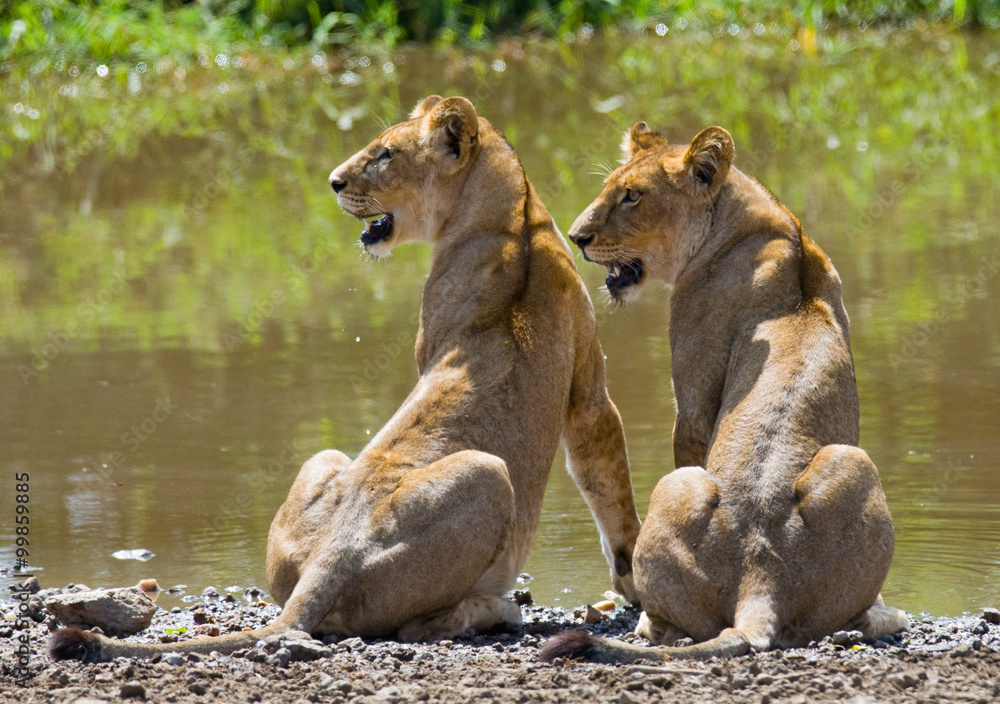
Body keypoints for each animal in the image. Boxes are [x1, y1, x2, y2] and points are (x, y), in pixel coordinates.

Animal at [49, 95, 642, 663]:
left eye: (386, 154)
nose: (333, 181)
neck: (516, 215)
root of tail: (330, 559)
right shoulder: (587, 394)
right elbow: (609, 485)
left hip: (329, 462)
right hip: (488, 472)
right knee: (417, 625)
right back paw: (497, 610)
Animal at [540, 123, 908, 664]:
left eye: (633, 196)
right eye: (610, 188)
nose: (576, 237)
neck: (773, 225)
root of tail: (760, 577)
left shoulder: (693, 404)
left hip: (679, 483)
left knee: (668, 628)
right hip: (848, 461)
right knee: (842, 619)